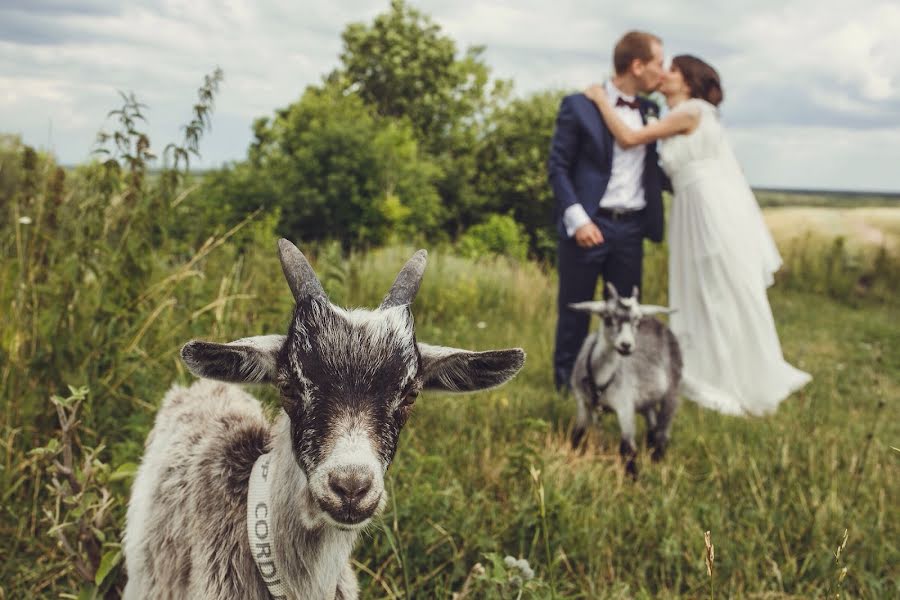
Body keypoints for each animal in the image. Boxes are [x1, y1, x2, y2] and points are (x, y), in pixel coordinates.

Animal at [568, 284, 684, 476]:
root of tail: (657, 321)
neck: (600, 381)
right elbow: (577, 434)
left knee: (663, 431)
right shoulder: (582, 403)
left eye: (637, 321)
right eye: (608, 318)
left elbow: (628, 449)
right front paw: (572, 459)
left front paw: (633, 478)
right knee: (652, 424)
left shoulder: (625, 407)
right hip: (646, 399)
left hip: (673, 389)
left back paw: (657, 461)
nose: (626, 345)